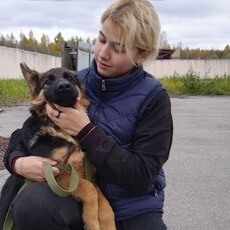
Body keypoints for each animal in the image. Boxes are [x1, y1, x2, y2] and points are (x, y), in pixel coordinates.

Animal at [0, 63, 116, 230]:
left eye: (70, 78)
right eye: (48, 82)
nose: (64, 86)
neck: (61, 129)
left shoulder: (89, 175)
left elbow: (104, 202)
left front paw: (107, 223)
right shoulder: (59, 174)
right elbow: (90, 189)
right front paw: (92, 222)